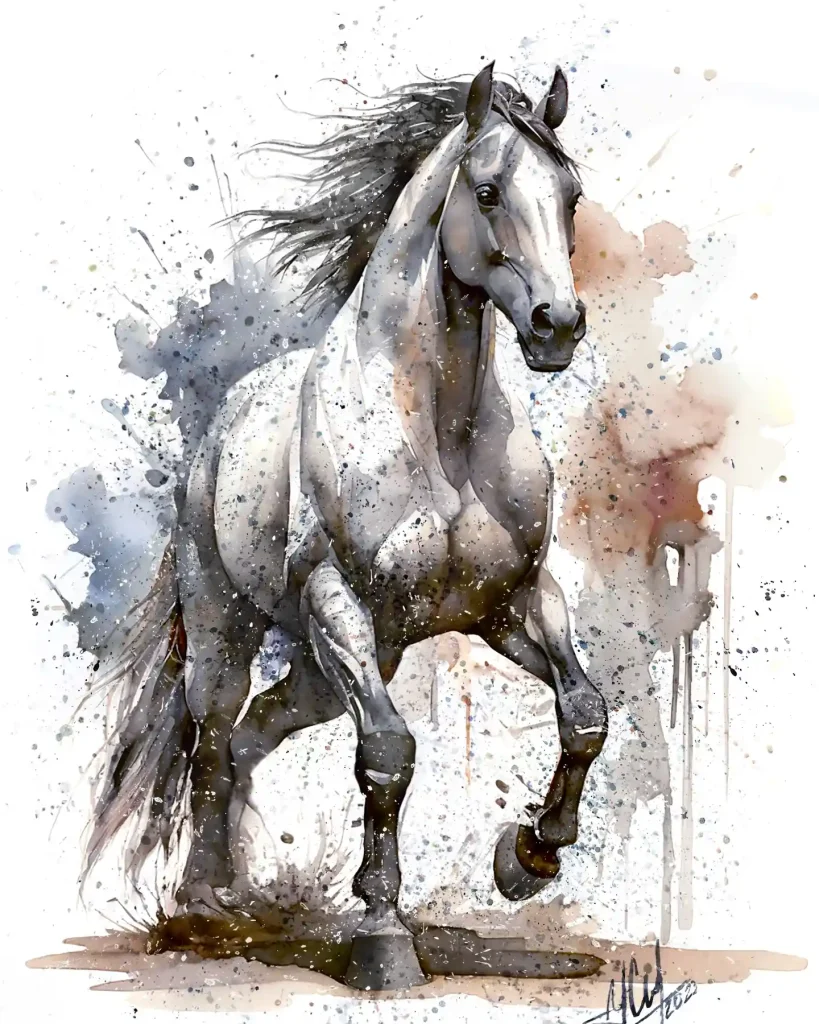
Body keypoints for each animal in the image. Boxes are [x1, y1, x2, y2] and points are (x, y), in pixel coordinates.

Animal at [85, 62, 608, 989]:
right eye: (486, 190)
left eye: (571, 195)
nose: (557, 326)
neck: (440, 430)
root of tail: (219, 429)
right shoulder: (340, 601)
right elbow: (390, 756)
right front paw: (383, 938)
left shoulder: (512, 603)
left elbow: (583, 714)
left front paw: (526, 859)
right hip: (231, 633)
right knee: (212, 742)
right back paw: (204, 905)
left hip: (342, 671)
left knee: (254, 734)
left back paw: (239, 890)